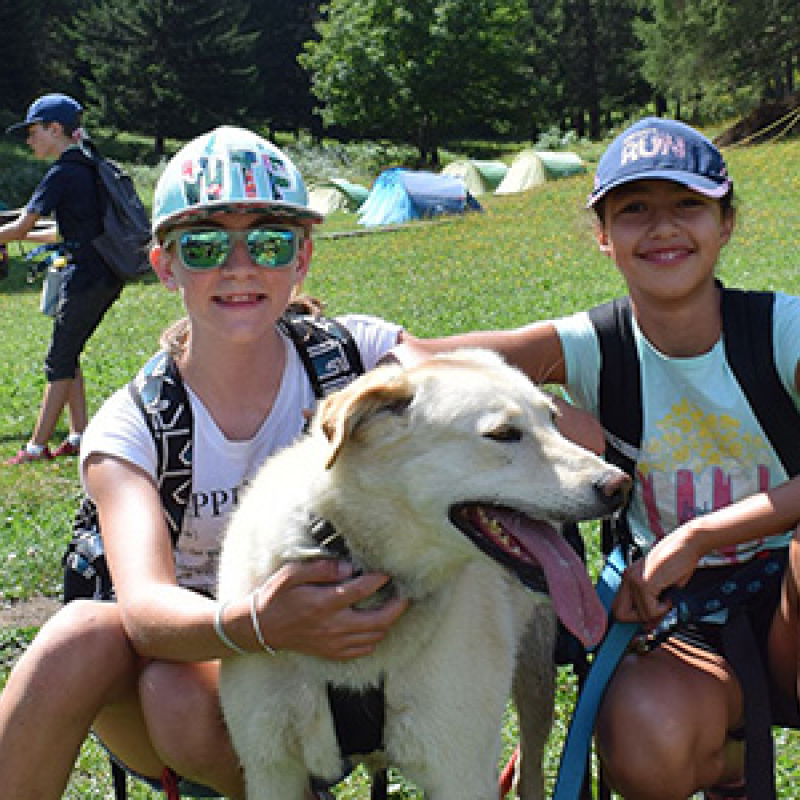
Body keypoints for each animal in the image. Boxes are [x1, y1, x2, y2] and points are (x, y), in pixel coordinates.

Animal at [219, 350, 632, 800]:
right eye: (503, 434)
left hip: (536, 674)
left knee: (529, 773)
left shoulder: (462, 772)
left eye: (554, 420)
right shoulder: (270, 767)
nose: (621, 485)